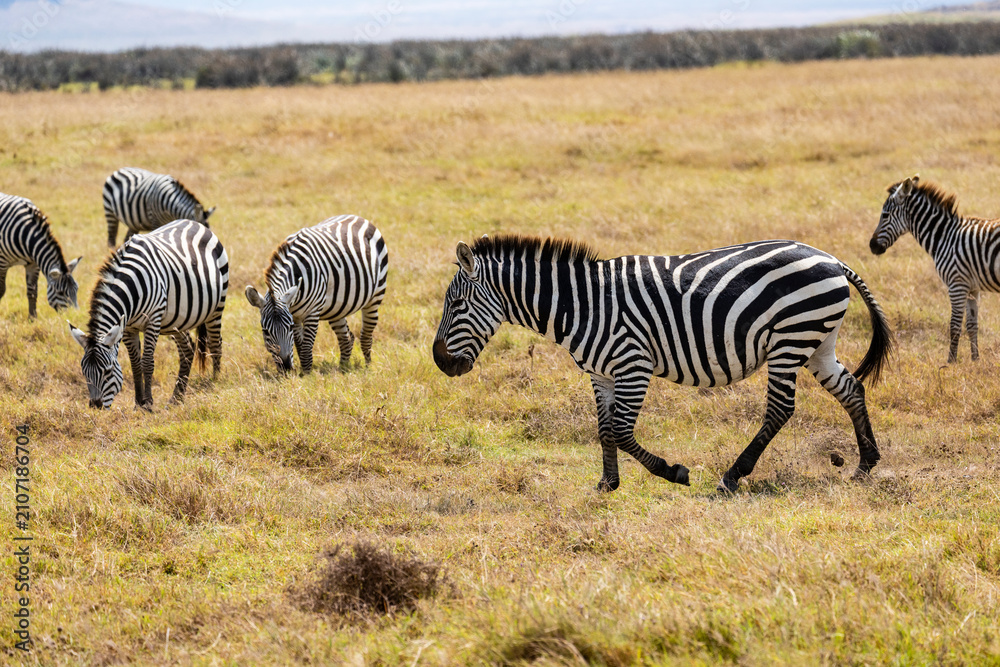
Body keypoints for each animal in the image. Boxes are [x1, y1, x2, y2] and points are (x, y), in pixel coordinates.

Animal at [68, 219, 228, 409]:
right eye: (84, 371)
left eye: (108, 371)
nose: (95, 405)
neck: (131, 285)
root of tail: (194, 223)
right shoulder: (127, 327)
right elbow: (135, 364)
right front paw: (138, 403)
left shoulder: (153, 319)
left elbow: (147, 362)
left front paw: (148, 403)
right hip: (177, 320)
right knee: (188, 349)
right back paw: (177, 397)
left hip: (216, 307)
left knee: (215, 342)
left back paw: (215, 381)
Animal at [245, 215, 389, 373]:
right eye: (265, 331)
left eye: (288, 327)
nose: (286, 368)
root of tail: (357, 217)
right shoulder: (294, 315)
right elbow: (300, 346)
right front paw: (302, 373)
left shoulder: (312, 313)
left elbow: (306, 349)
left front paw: (307, 375)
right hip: (336, 308)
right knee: (346, 337)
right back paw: (343, 369)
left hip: (375, 296)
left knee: (366, 335)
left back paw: (368, 368)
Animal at [433, 235, 893, 493]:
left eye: (456, 305)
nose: (439, 362)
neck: (580, 305)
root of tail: (831, 259)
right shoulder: (601, 374)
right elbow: (604, 429)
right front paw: (608, 483)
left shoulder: (633, 364)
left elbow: (621, 431)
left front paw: (673, 472)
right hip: (816, 341)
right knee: (851, 389)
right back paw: (865, 465)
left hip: (789, 339)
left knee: (780, 409)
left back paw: (732, 476)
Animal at [871, 175, 1000, 364]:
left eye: (885, 215)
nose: (872, 246)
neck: (944, 237)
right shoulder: (972, 288)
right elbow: (972, 325)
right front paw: (975, 360)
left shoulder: (956, 285)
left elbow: (954, 326)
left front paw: (951, 363)